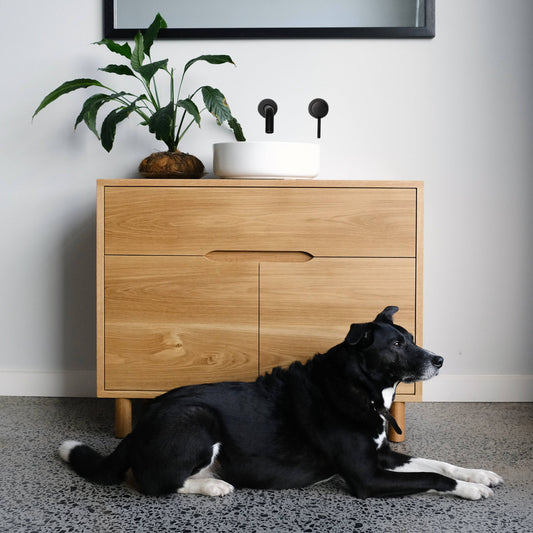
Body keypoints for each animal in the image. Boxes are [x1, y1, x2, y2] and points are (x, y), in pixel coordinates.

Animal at [60, 308, 500, 498]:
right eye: (396, 343)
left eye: (409, 338)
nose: (439, 360)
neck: (359, 387)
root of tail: (138, 428)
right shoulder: (367, 477)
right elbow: (432, 477)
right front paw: (467, 488)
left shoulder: (382, 456)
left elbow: (437, 462)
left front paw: (479, 474)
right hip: (197, 419)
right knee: (154, 483)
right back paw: (214, 486)